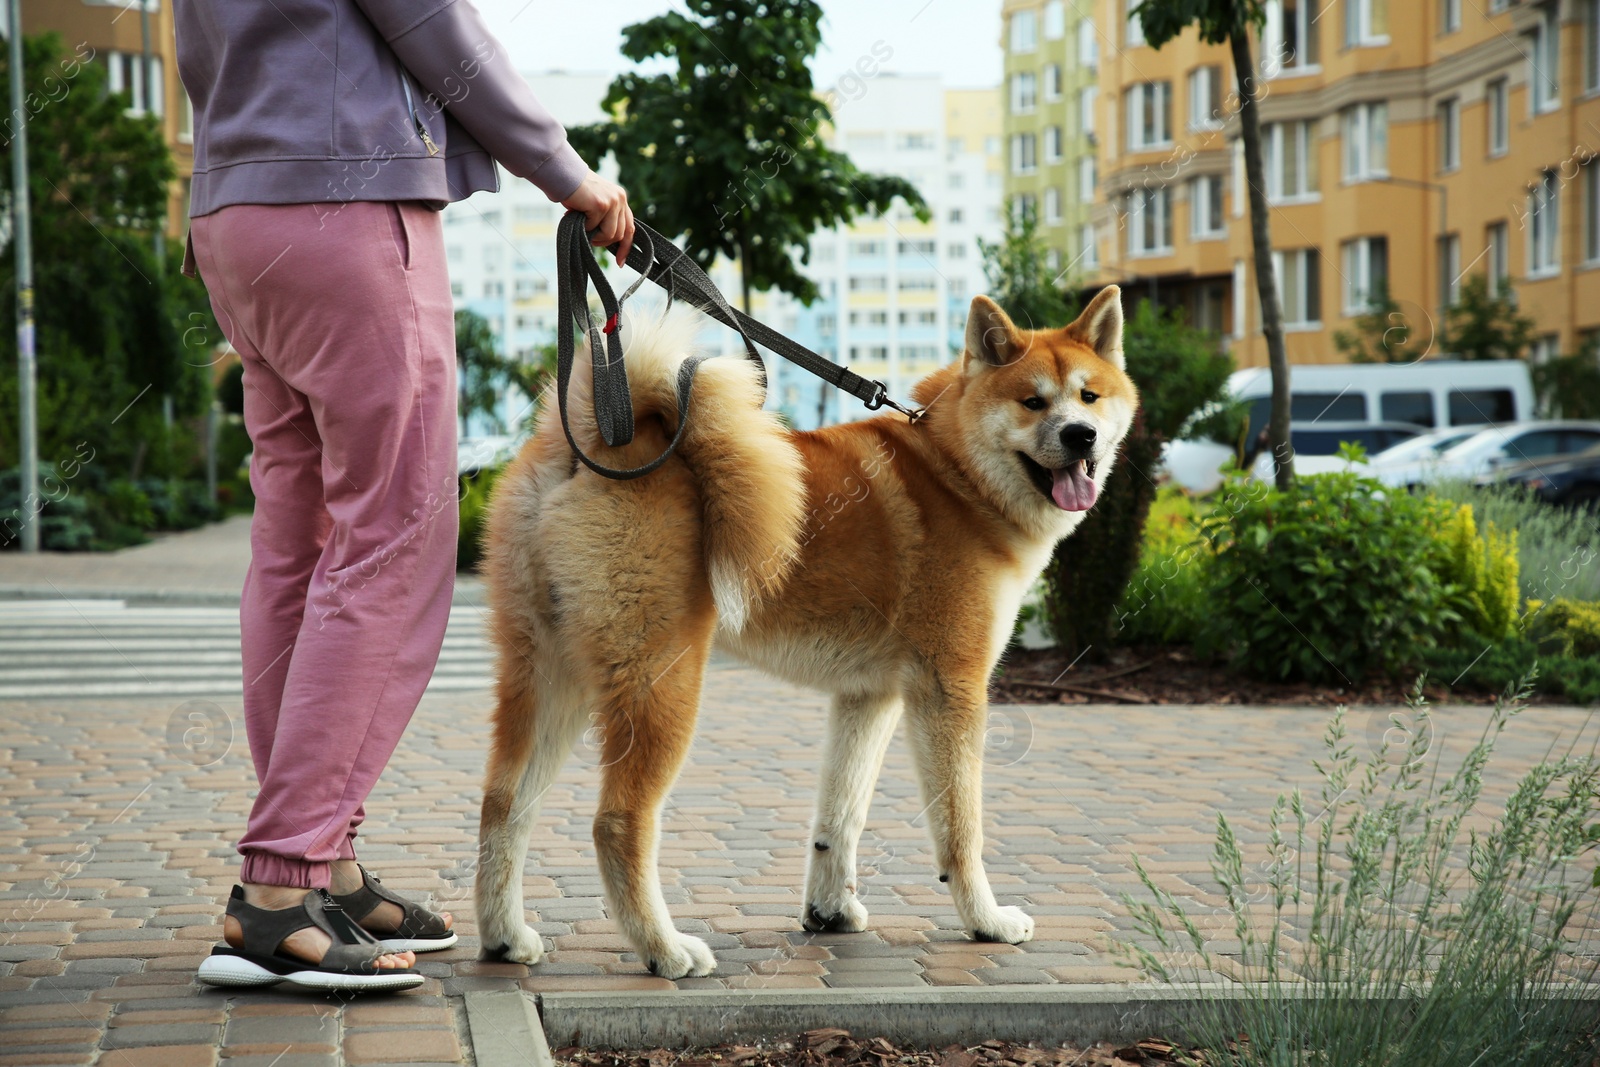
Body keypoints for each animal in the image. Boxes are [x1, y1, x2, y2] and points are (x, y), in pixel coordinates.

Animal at [473, 283, 1139, 979]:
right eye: (1032, 401)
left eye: (1090, 396)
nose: (1081, 435)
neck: (954, 472)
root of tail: (591, 440)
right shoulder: (949, 689)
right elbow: (961, 830)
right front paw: (986, 921)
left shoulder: (869, 697)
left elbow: (841, 817)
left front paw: (829, 912)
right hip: (662, 684)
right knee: (617, 822)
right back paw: (664, 949)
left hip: (552, 678)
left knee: (503, 805)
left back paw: (506, 938)